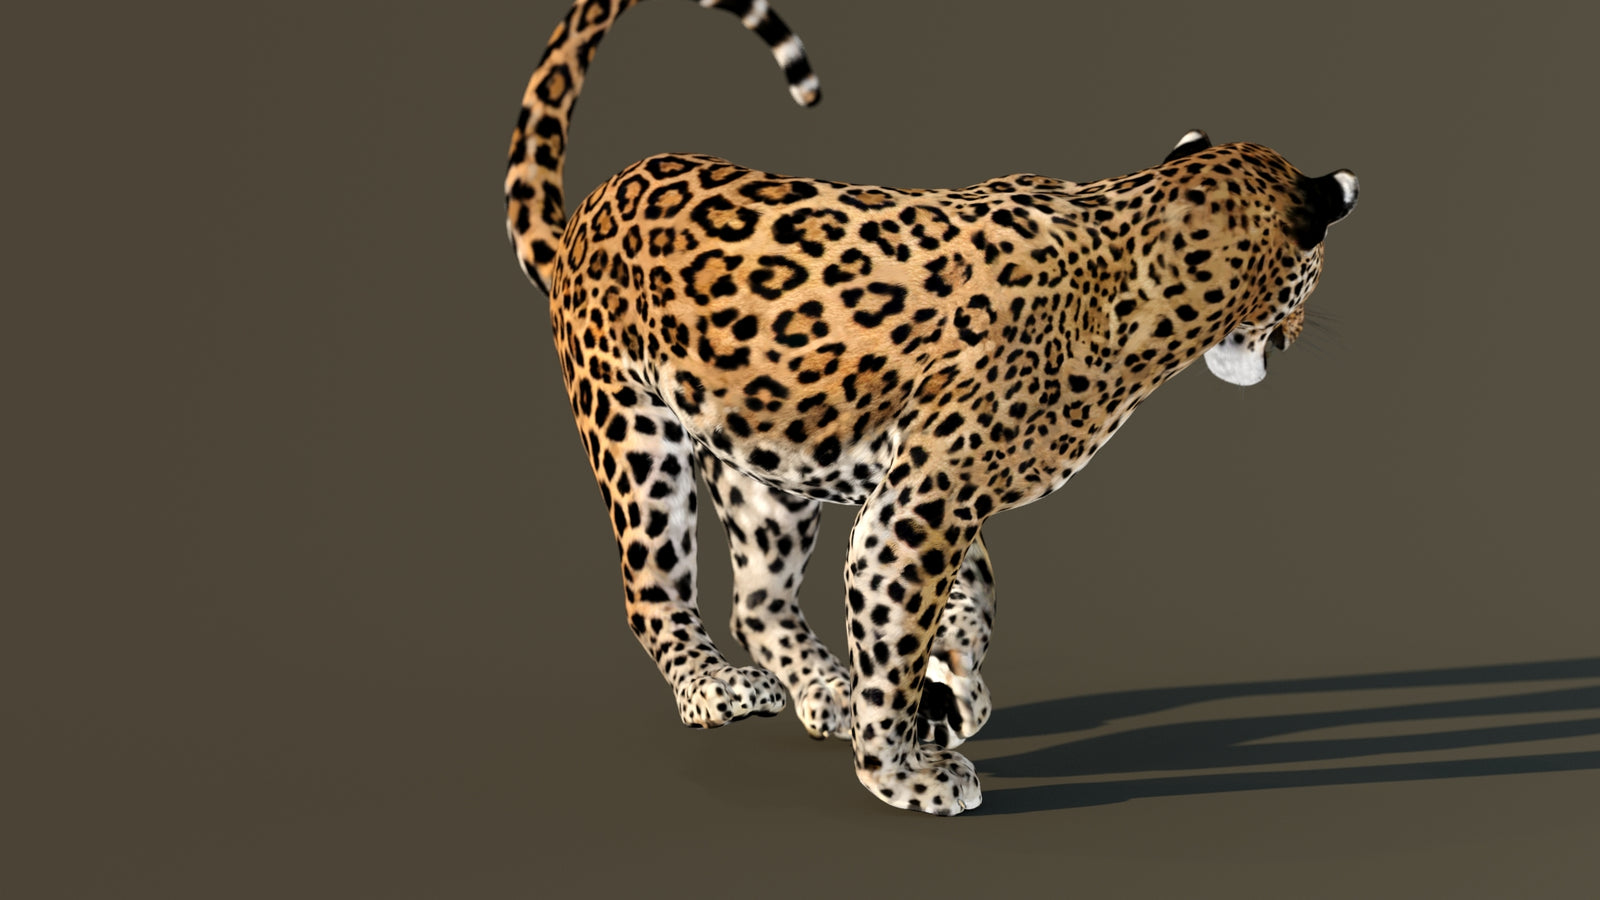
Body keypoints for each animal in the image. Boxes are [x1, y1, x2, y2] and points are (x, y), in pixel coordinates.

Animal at [505, 0, 1358, 815]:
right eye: (1311, 278)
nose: (1294, 335)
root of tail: (586, 214)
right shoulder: (918, 508)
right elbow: (897, 638)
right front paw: (904, 772)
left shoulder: (928, 492)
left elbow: (970, 598)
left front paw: (952, 683)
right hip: (637, 436)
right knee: (652, 587)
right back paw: (717, 687)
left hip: (763, 464)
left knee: (760, 598)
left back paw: (826, 689)